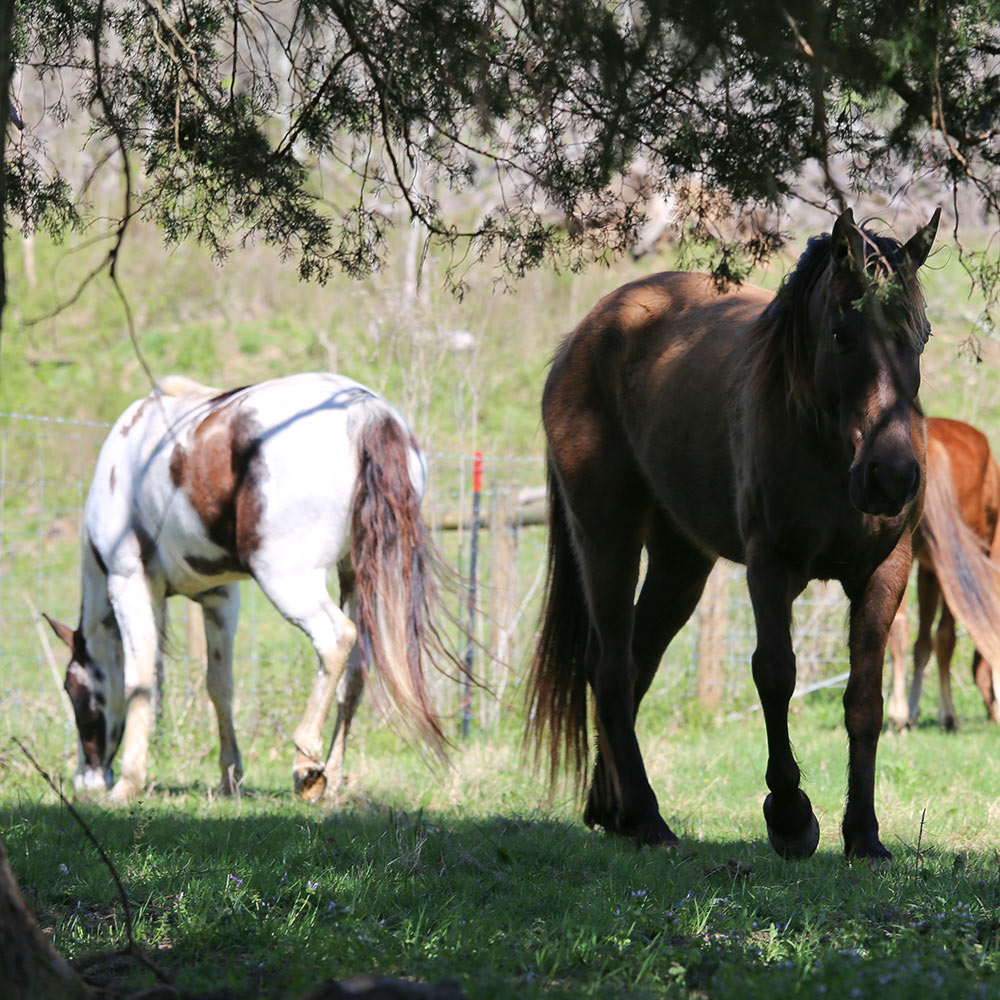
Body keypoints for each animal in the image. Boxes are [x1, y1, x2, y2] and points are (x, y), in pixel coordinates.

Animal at [48, 376, 448, 804]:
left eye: (72, 687)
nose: (87, 780)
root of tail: (364, 408)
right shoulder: (220, 597)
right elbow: (219, 686)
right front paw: (230, 778)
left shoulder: (130, 584)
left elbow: (139, 682)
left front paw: (128, 784)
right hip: (353, 579)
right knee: (354, 674)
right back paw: (333, 776)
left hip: (287, 581)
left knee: (336, 638)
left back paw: (307, 764)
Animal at [528, 209, 940, 860]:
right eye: (842, 335)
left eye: (919, 337)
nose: (892, 476)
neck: (825, 446)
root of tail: (589, 330)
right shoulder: (771, 565)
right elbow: (775, 674)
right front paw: (791, 817)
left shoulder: (885, 571)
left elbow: (864, 699)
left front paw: (864, 835)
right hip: (607, 535)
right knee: (611, 669)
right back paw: (648, 820)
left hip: (680, 564)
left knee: (637, 662)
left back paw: (614, 809)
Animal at [892, 418, 1000, 732]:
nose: (992, 714)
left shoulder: (927, 571)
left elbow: (922, 643)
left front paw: (913, 709)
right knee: (946, 636)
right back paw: (945, 715)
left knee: (900, 628)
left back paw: (897, 716)